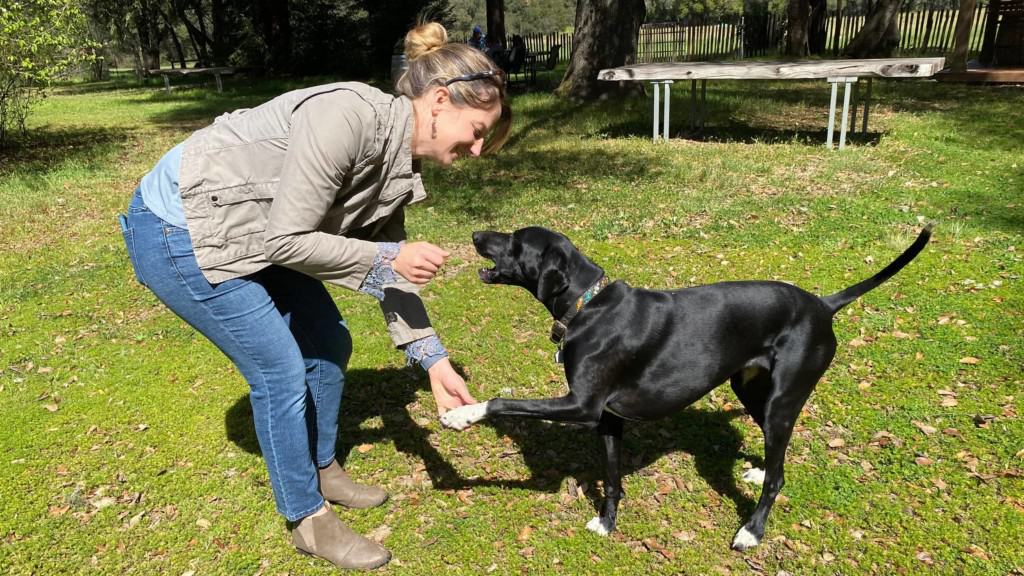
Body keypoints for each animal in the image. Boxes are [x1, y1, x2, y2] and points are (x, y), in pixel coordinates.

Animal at [440, 223, 929, 545]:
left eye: (515, 240)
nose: (477, 235)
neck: (588, 305)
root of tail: (823, 305)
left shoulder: (581, 406)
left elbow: (502, 401)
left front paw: (462, 414)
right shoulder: (608, 421)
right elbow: (612, 479)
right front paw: (608, 522)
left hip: (782, 401)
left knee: (778, 478)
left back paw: (752, 531)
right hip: (752, 392)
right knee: (777, 463)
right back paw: (758, 470)